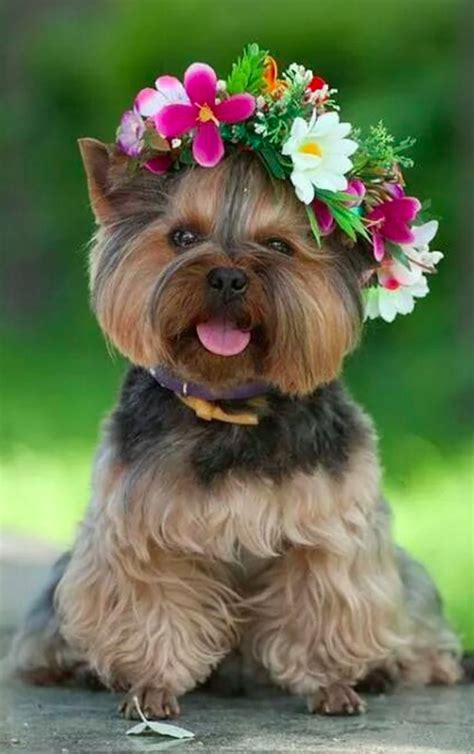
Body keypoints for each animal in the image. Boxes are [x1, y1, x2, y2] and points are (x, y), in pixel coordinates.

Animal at [10, 135, 462, 716]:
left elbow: (325, 597)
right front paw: (151, 686)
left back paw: (386, 669)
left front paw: (332, 684)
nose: (227, 276)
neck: (231, 405)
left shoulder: (329, 528)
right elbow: (153, 606)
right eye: (182, 237)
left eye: (278, 245)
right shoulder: (142, 529)